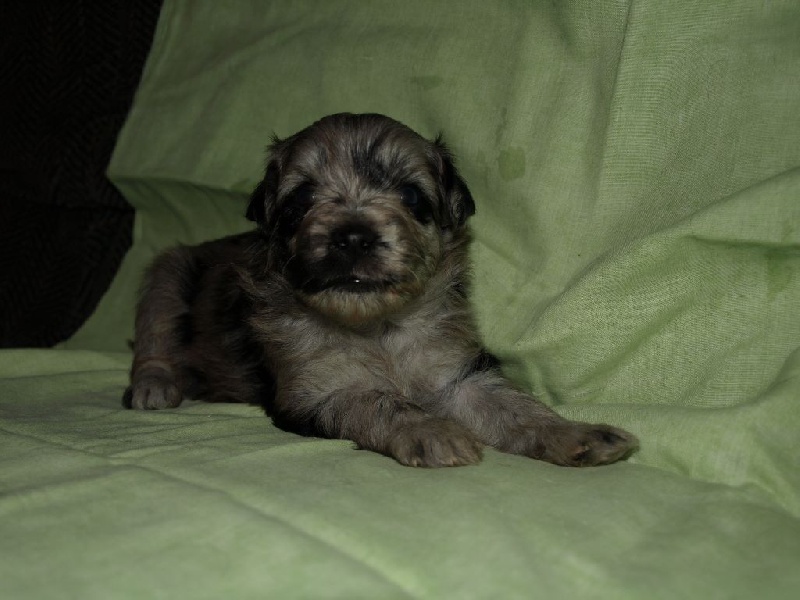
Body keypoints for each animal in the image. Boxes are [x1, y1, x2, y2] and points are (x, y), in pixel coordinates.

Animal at [125, 113, 636, 468]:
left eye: (410, 195)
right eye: (301, 199)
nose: (353, 236)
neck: (377, 327)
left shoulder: (457, 375)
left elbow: (514, 406)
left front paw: (578, 436)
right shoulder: (318, 389)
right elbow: (380, 402)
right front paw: (433, 432)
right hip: (167, 276)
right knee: (153, 343)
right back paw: (155, 388)